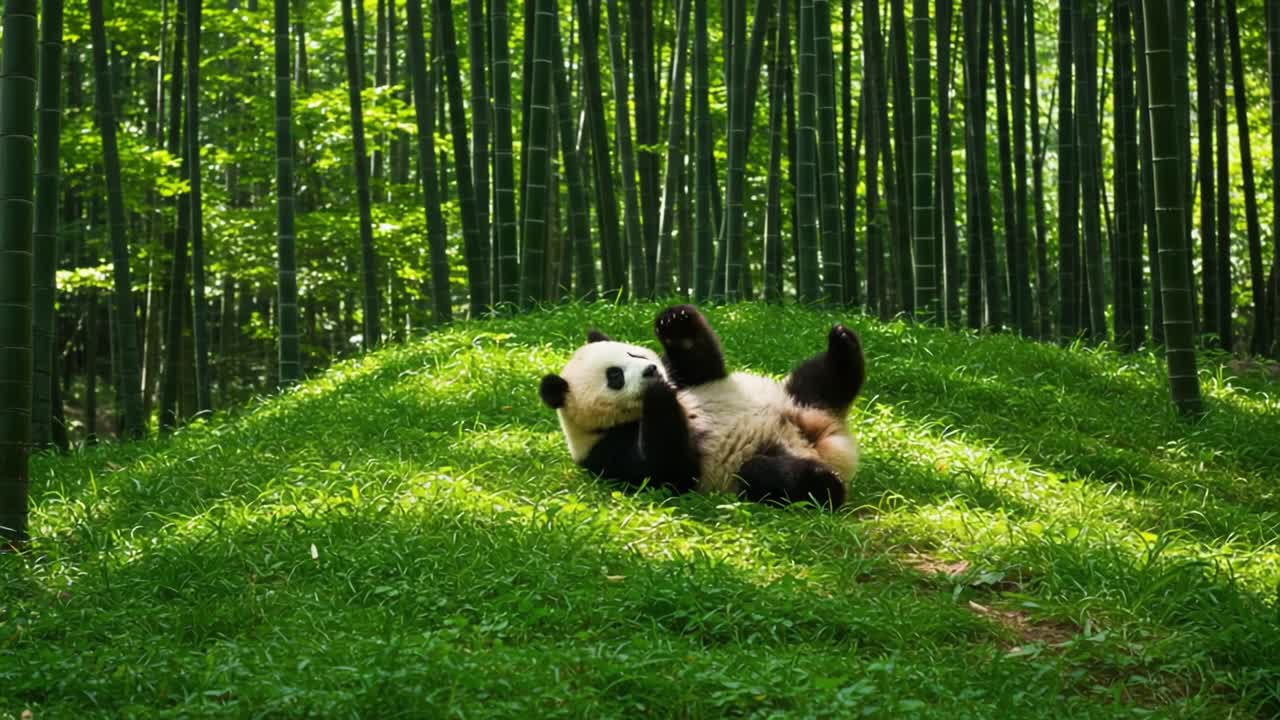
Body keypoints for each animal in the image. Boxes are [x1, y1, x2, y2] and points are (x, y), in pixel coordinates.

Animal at [539, 304, 865, 509]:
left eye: (633, 353)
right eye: (615, 376)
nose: (651, 371)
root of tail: (825, 443)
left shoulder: (686, 377)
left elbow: (704, 366)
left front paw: (674, 322)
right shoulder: (607, 450)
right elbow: (670, 472)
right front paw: (657, 394)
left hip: (796, 399)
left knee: (820, 381)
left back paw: (842, 343)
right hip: (751, 468)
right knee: (768, 475)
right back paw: (826, 484)